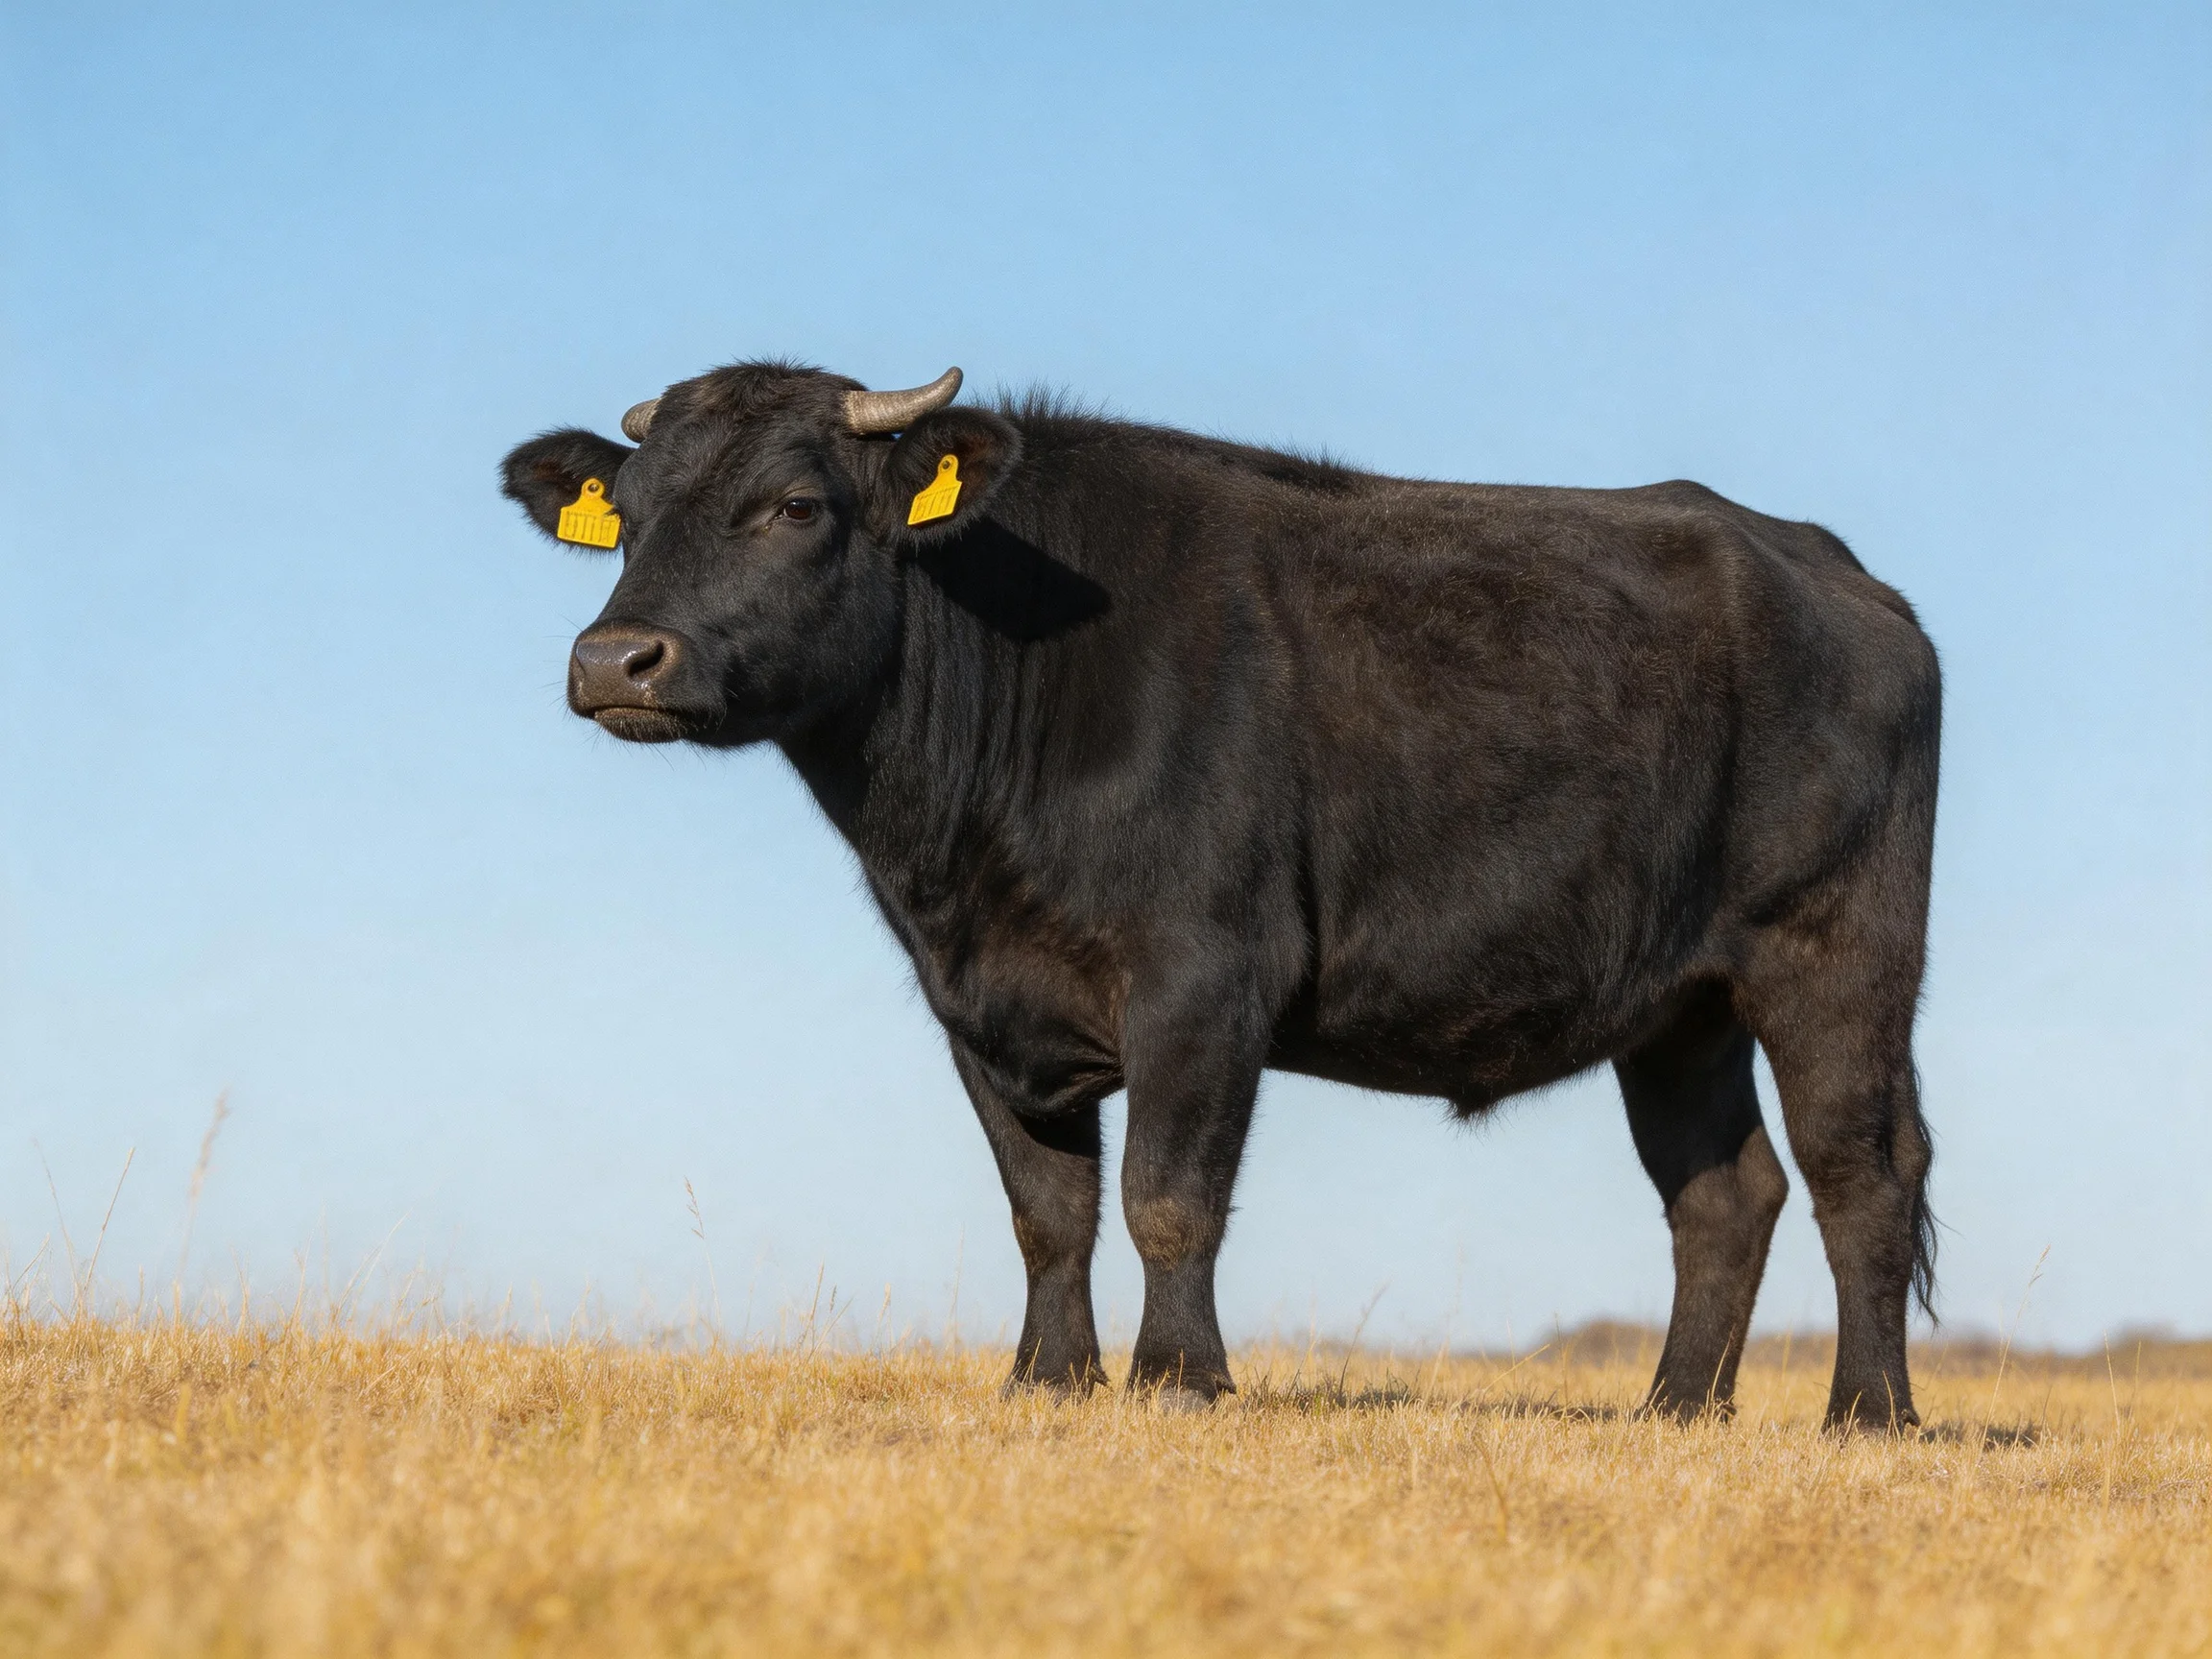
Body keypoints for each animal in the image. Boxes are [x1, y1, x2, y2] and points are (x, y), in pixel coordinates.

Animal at [500, 361, 1941, 1430]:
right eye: (629, 511)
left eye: (796, 505)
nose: (616, 658)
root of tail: (1830, 568)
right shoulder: (981, 1008)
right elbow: (1047, 1210)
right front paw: (1049, 1381)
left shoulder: (1204, 980)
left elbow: (1165, 1193)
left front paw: (1181, 1380)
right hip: (1678, 1004)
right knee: (1725, 1193)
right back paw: (1675, 1409)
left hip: (1837, 954)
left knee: (1859, 1170)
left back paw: (1868, 1415)